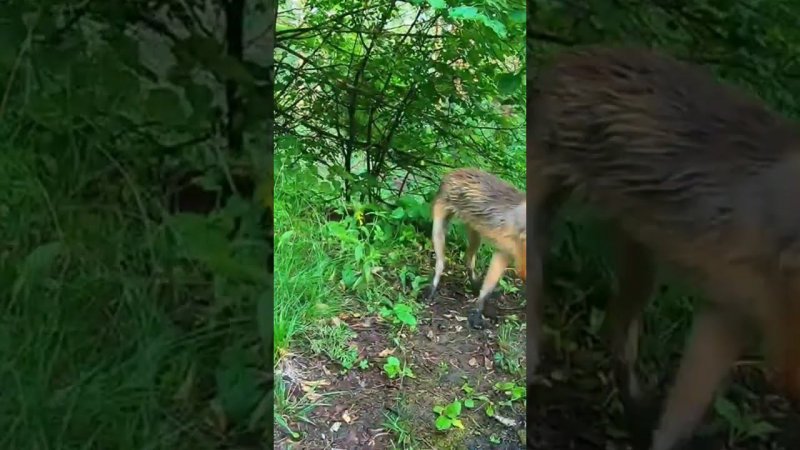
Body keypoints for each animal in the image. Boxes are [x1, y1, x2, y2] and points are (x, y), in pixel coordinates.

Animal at [424, 167, 524, 328]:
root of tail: (454, 172)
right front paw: (477, 315)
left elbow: (488, 287)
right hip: (440, 223)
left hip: (475, 231)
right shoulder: (507, 253)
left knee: (468, 259)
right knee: (441, 262)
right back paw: (433, 288)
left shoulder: (506, 253)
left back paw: (475, 285)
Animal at [528, 45, 800, 450]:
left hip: (640, 258)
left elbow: (679, 420)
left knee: (617, 333)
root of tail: (570, 58)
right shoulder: (747, 316)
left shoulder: (730, 310)